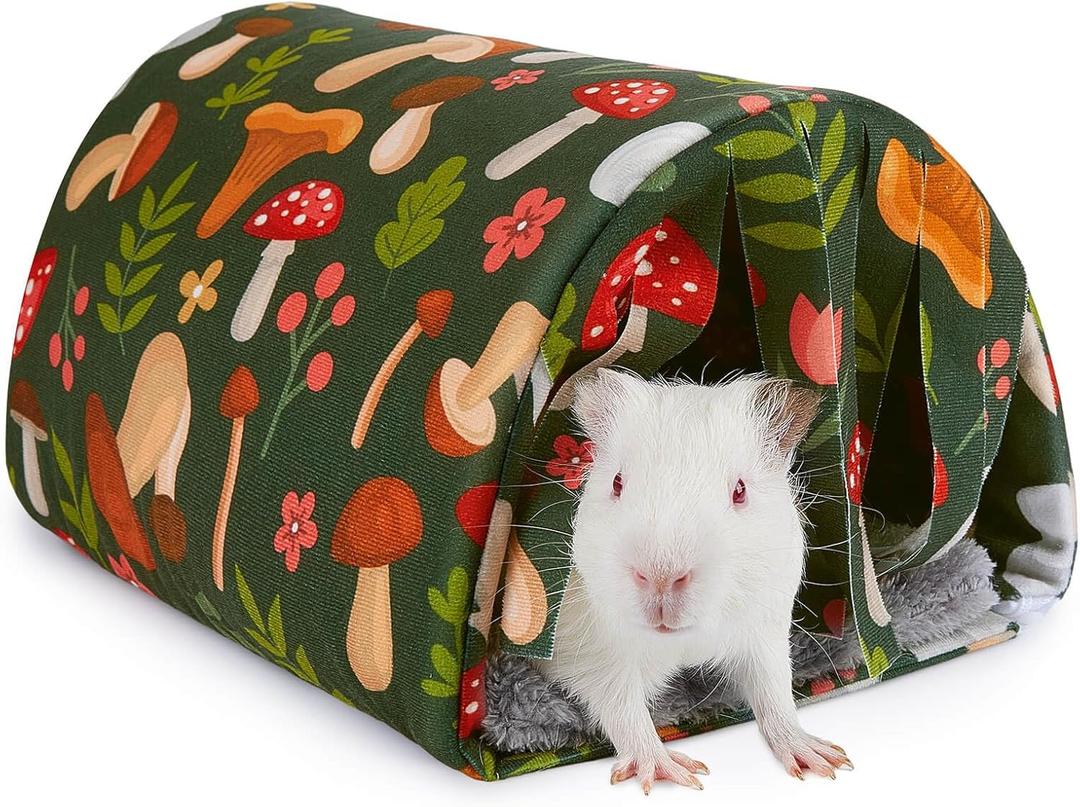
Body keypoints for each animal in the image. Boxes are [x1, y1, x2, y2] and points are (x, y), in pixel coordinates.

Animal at [538, 369, 851, 792]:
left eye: (740, 490)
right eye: (617, 483)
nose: (661, 577)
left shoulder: (763, 637)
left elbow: (775, 695)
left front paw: (824, 760)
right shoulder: (595, 657)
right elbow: (624, 711)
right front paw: (678, 773)